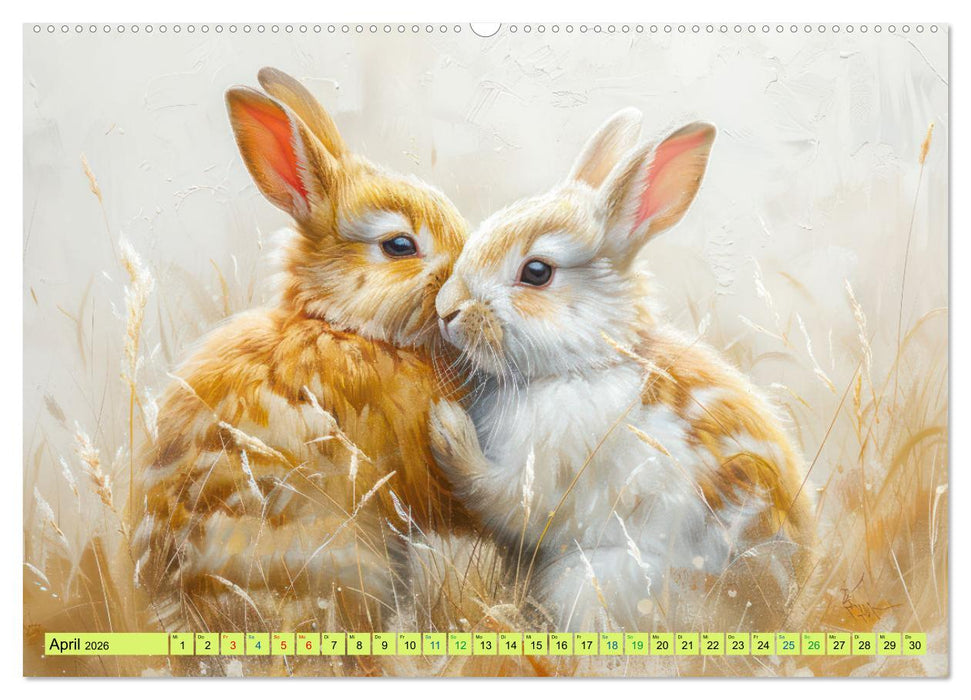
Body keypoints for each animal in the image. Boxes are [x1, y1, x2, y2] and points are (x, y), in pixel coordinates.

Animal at [428, 112, 817, 634]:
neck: (585, 365)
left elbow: (497, 494)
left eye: (536, 272)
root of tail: (777, 619)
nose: (446, 310)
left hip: (590, 579)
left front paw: (446, 426)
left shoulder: (549, 471)